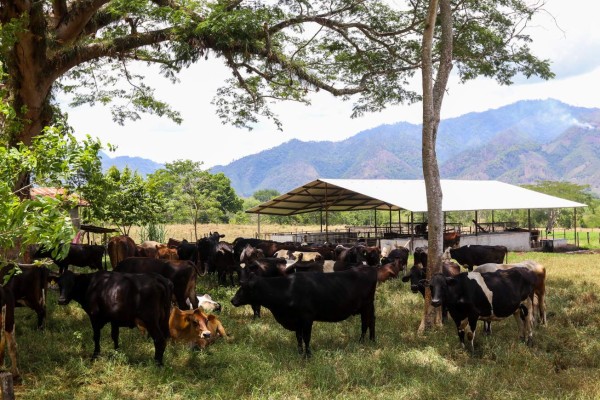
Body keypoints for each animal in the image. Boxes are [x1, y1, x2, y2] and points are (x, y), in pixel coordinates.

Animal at [231, 268, 378, 358]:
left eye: (244, 288)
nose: (232, 300)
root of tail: (367, 268)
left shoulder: (307, 318)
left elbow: (307, 337)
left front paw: (308, 355)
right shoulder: (297, 321)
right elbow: (299, 337)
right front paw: (300, 352)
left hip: (367, 305)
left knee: (366, 323)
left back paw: (362, 341)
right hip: (367, 307)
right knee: (371, 321)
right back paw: (371, 340)